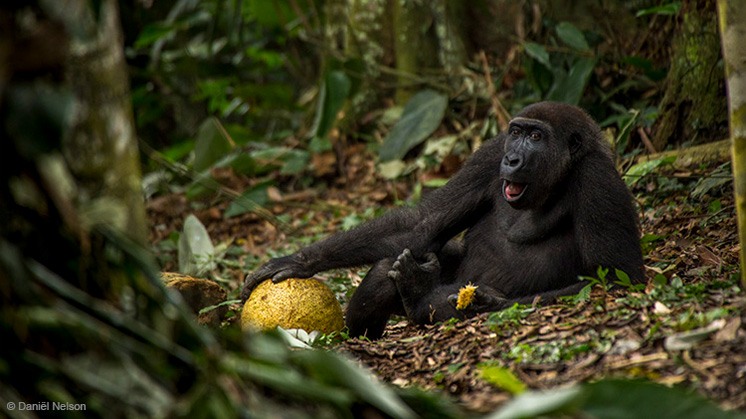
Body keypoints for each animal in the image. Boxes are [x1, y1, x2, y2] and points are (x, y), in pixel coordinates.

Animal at [241, 102, 644, 342]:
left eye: (536, 136)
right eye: (515, 133)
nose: (513, 159)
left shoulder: (598, 179)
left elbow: (616, 277)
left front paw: (486, 303)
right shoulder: (490, 153)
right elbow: (421, 225)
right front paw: (301, 260)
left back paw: (419, 296)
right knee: (390, 264)